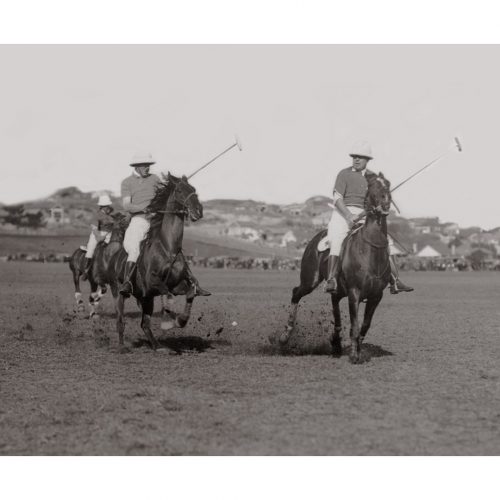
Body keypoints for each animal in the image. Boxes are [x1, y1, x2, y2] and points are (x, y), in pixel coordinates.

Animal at [108, 173, 204, 352]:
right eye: (179, 191)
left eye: (193, 189)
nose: (198, 211)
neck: (168, 248)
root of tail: (113, 259)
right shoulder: (153, 283)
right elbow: (167, 294)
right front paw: (169, 322)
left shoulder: (177, 285)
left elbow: (189, 293)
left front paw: (181, 320)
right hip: (118, 293)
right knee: (120, 321)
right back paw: (122, 346)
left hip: (146, 298)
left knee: (144, 324)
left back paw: (158, 347)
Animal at [282, 172, 390, 364]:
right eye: (373, 187)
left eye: (388, 184)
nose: (386, 203)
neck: (371, 250)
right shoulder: (354, 292)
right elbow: (355, 325)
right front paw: (354, 355)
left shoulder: (377, 295)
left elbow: (365, 325)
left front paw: (357, 349)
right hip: (310, 279)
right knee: (296, 292)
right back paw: (285, 336)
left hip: (338, 289)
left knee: (335, 306)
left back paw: (336, 343)